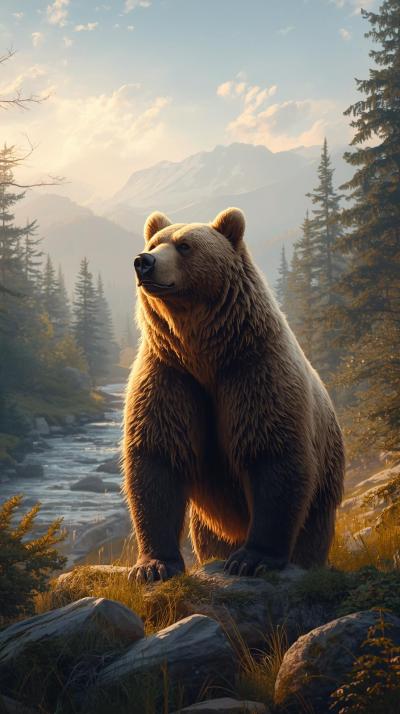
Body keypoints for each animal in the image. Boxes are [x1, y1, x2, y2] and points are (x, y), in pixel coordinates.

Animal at [123, 207, 345, 583]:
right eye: (154, 242)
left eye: (184, 245)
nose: (144, 262)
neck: (204, 354)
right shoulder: (171, 376)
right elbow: (157, 458)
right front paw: (153, 566)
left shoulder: (253, 371)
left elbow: (272, 454)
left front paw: (251, 559)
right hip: (208, 522)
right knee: (210, 537)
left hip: (323, 494)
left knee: (311, 535)